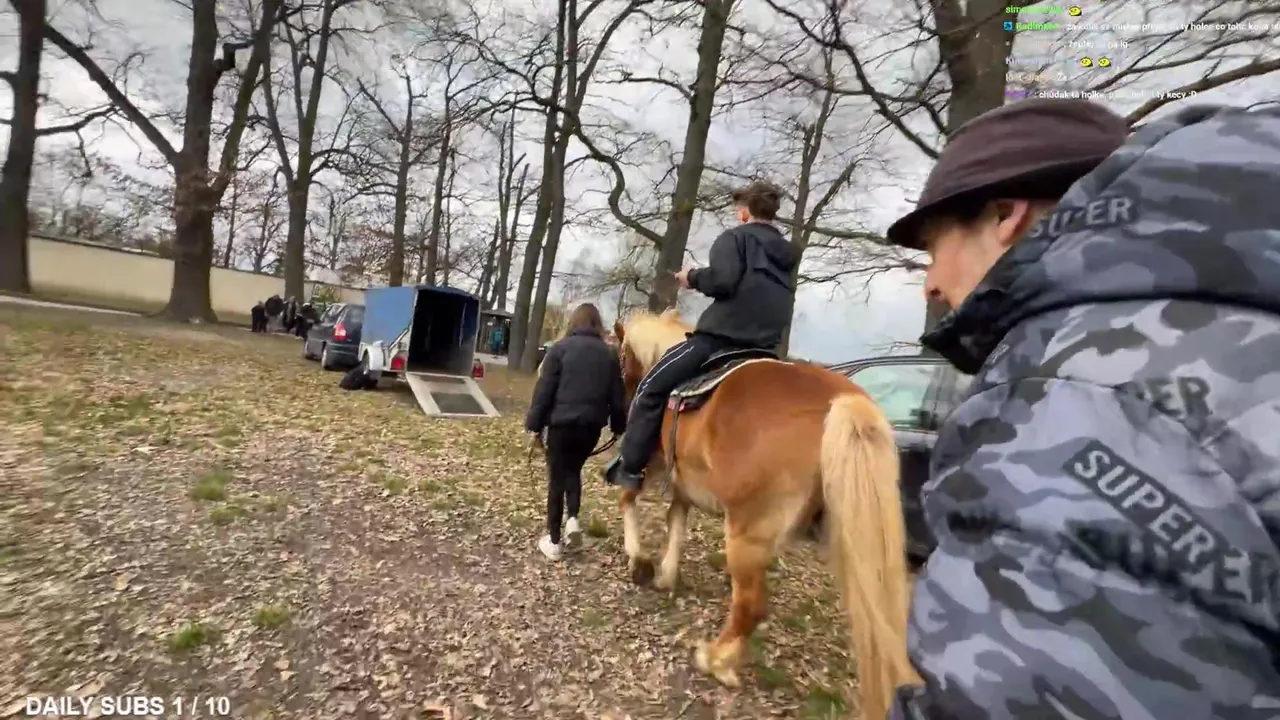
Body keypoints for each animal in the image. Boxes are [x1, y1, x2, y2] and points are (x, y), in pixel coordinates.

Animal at [612, 309, 918, 720]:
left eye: (620, 356)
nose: (621, 407)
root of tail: (843, 400)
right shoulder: (683, 482)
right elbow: (676, 520)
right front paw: (666, 574)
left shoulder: (651, 462)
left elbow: (629, 498)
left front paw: (639, 561)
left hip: (747, 532)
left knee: (750, 605)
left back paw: (716, 661)